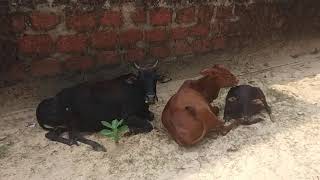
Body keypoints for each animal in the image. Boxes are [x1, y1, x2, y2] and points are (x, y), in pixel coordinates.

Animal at [36, 60, 165, 150]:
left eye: (155, 79)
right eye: (141, 79)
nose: (150, 98)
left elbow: (151, 117)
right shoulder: (126, 117)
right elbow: (149, 126)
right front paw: (129, 132)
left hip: (63, 125)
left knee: (52, 134)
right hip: (72, 120)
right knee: (73, 135)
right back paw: (97, 145)